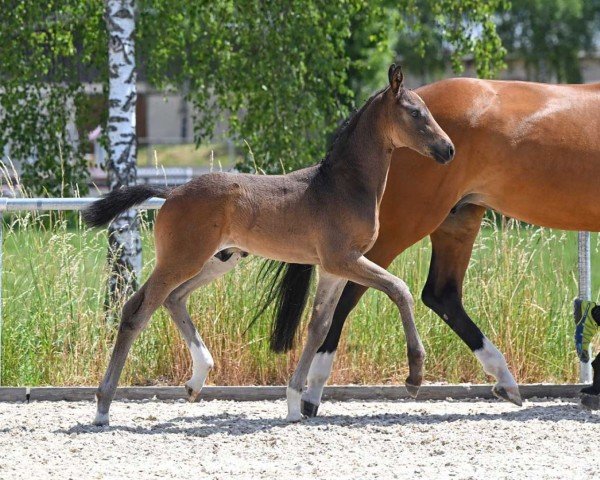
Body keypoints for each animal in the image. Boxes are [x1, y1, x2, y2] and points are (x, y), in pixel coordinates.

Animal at [84, 65, 454, 426]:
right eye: (416, 112)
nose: (448, 149)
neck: (344, 185)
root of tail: (172, 192)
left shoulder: (333, 269)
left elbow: (318, 327)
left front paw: (293, 403)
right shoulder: (344, 259)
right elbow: (399, 290)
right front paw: (415, 376)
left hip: (219, 260)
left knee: (174, 298)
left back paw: (196, 379)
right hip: (181, 259)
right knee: (137, 310)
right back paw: (103, 407)